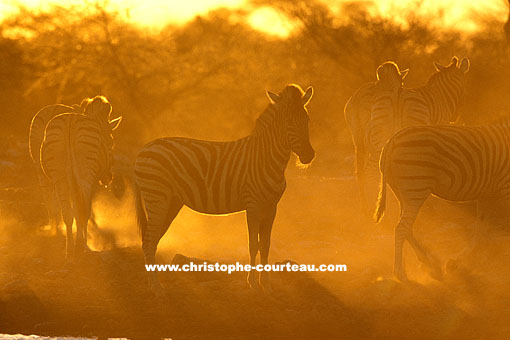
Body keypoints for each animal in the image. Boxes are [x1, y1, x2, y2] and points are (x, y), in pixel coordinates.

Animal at [40, 95, 121, 258]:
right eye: (111, 141)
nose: (108, 178)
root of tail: (69, 124)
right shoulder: (89, 181)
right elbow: (85, 211)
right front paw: (84, 242)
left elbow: (73, 211)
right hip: (85, 175)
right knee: (82, 210)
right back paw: (79, 245)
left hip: (60, 177)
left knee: (67, 213)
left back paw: (69, 248)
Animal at [133, 83, 312, 294]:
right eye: (289, 123)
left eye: (307, 120)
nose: (309, 156)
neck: (266, 158)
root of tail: (144, 149)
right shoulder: (253, 205)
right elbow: (254, 244)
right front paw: (252, 283)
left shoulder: (271, 206)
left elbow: (266, 245)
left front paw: (266, 284)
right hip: (157, 198)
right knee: (148, 241)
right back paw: (157, 288)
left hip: (170, 203)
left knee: (151, 241)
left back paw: (151, 284)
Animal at [370, 119, 510, 282]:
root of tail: (392, 140)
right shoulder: (505, 186)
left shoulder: (486, 193)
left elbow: (480, 229)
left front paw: (458, 261)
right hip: (415, 189)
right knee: (401, 229)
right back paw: (400, 273)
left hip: (402, 193)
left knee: (407, 228)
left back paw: (430, 264)